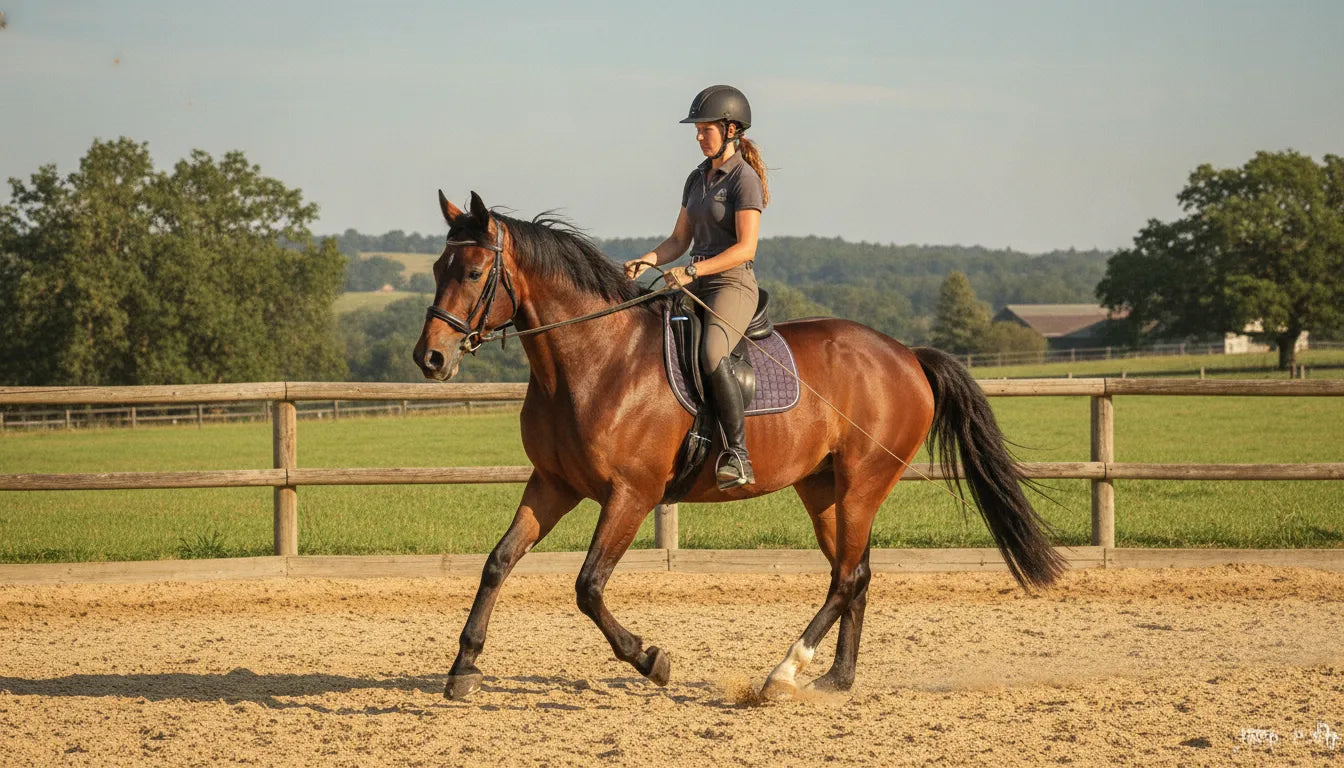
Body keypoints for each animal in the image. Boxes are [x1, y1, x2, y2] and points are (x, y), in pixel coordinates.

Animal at [413, 190, 1064, 701]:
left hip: (864, 482)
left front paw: (652, 660)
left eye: (472, 273)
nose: (431, 358)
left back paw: (783, 674)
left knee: (846, 578)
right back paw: (835, 680)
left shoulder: (631, 494)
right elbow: (498, 562)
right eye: (438, 267)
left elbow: (588, 586)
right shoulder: (553, 484)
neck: (596, 359)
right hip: (824, 489)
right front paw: (463, 668)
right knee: (856, 572)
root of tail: (906, 354)